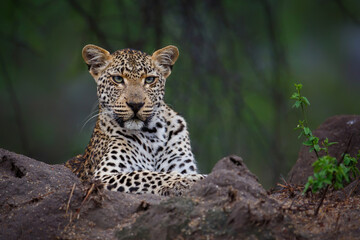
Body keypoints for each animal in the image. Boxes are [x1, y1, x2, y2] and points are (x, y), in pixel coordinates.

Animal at [65, 44, 205, 196]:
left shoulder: (182, 165)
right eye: (118, 79)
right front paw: (189, 180)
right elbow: (147, 175)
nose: (135, 105)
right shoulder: (103, 176)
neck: (152, 133)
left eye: (149, 80)